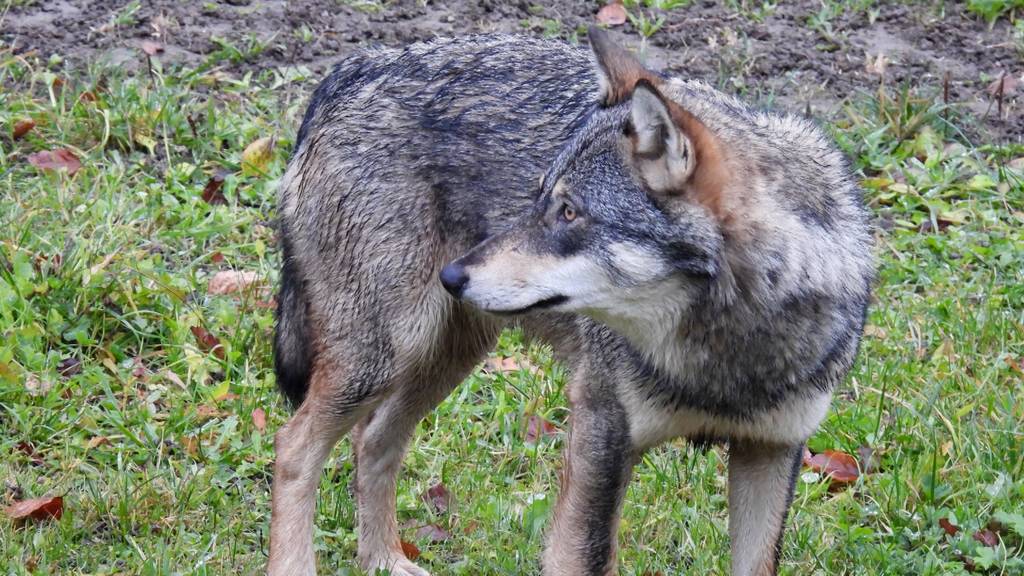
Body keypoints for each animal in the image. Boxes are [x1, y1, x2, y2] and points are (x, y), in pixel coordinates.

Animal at [266, 25, 872, 573]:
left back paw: (384, 561)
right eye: (541, 199)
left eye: (569, 212)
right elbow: (582, 557)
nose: (452, 275)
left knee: (372, 442)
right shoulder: (601, 435)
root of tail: (354, 68)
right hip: (384, 358)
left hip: (441, 358)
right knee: (293, 448)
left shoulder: (772, 451)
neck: (725, 358)